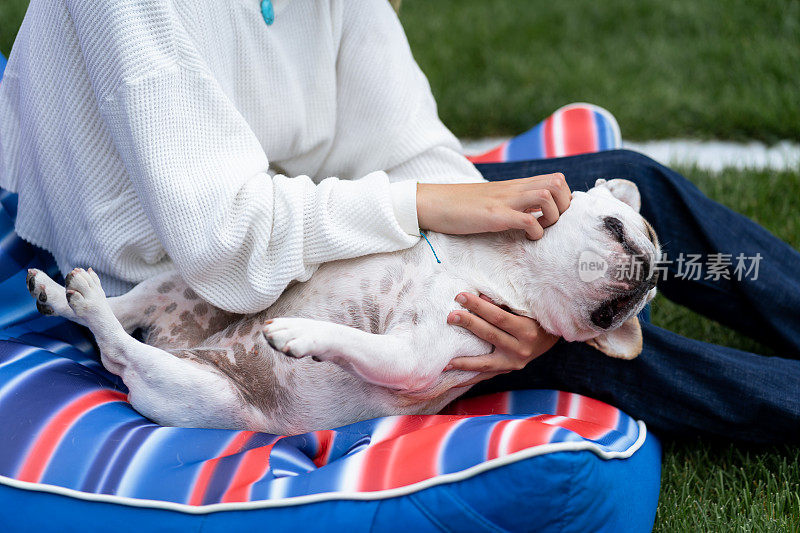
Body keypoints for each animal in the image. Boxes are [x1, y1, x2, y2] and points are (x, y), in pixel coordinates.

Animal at [28, 177, 660, 434]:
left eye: (612, 318)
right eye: (619, 228)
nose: (651, 271)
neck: (511, 268)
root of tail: (186, 346)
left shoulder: (416, 357)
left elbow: (357, 342)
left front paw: (298, 335)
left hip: (205, 393)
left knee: (120, 349)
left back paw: (85, 300)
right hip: (182, 289)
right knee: (129, 307)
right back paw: (62, 292)